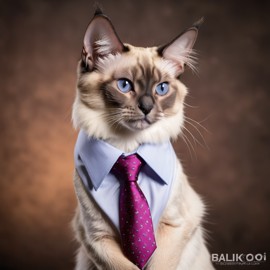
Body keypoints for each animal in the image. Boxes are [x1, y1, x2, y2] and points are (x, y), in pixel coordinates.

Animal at [72, 8, 215, 270]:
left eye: (161, 89)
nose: (147, 108)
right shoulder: (96, 237)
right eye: (124, 85)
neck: (127, 147)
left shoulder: (176, 225)